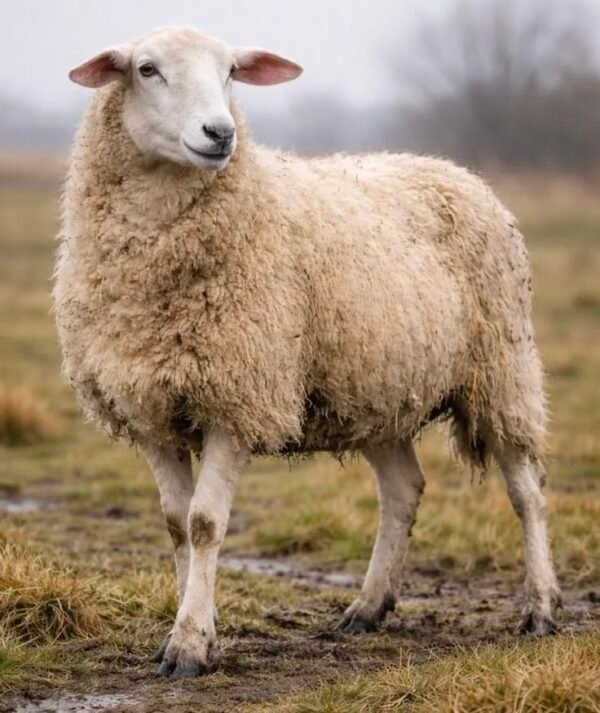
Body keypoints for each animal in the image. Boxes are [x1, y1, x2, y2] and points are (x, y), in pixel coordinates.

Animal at [54, 26, 560, 678]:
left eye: (231, 72)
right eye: (147, 69)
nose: (221, 133)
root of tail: (451, 168)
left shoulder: (240, 395)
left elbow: (205, 523)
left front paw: (190, 643)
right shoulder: (150, 409)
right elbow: (175, 525)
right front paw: (190, 634)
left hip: (501, 366)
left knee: (527, 490)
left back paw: (540, 608)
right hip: (378, 384)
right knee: (403, 490)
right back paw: (368, 608)